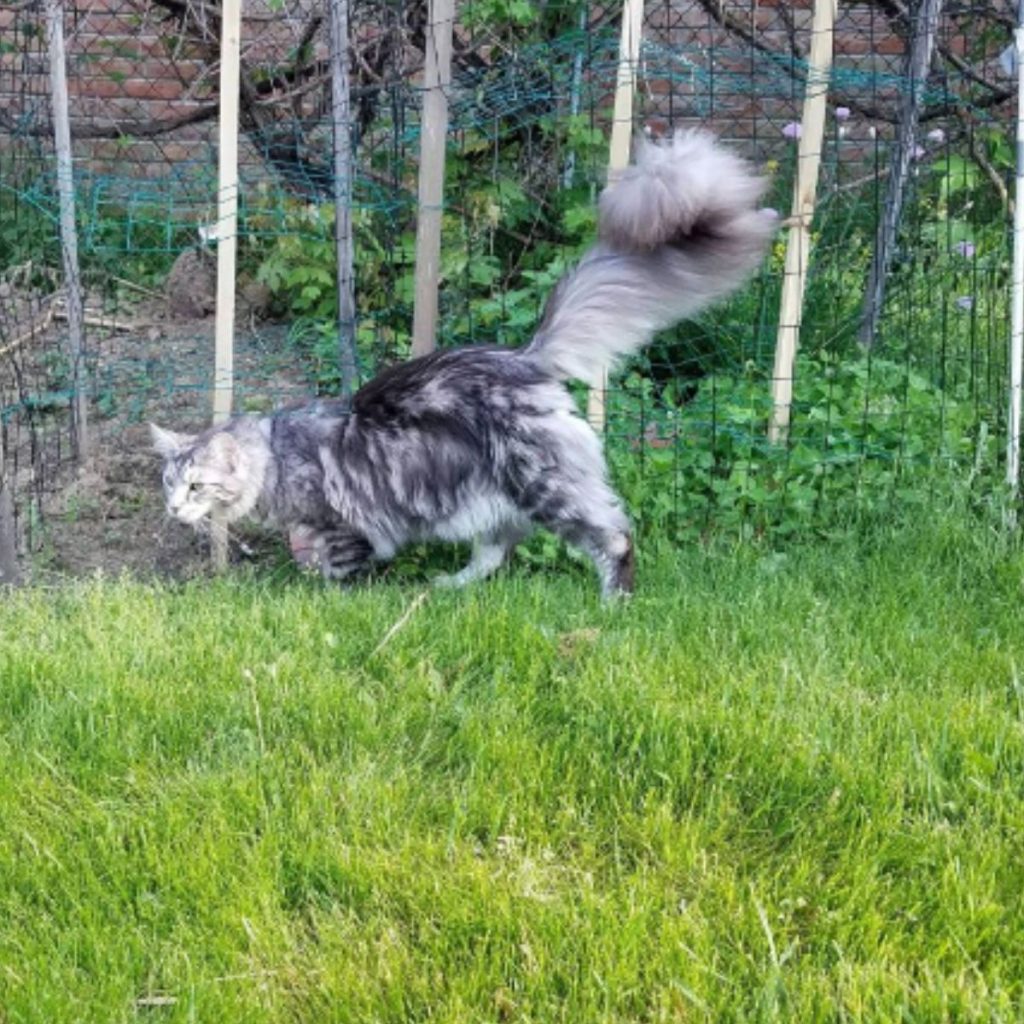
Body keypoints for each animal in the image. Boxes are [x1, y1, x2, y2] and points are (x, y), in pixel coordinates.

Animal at [151, 131, 774, 598]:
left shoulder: (345, 523)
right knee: (496, 551)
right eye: (169, 484)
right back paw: (449, 587)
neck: (276, 454)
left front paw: (328, 588)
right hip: (491, 495)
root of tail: (525, 356)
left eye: (197, 485)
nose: (174, 509)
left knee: (614, 536)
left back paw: (613, 603)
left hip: (544, 484)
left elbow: (339, 565)